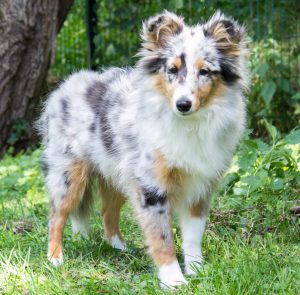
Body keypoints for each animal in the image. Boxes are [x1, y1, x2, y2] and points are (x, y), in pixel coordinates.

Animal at [38, 11, 248, 290]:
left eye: (205, 71)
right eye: (172, 69)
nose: (183, 104)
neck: (188, 124)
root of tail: (65, 85)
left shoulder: (200, 186)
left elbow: (193, 233)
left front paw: (197, 270)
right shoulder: (152, 187)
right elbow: (162, 237)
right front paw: (173, 280)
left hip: (118, 177)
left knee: (107, 213)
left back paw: (119, 248)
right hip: (68, 176)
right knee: (56, 215)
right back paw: (55, 258)